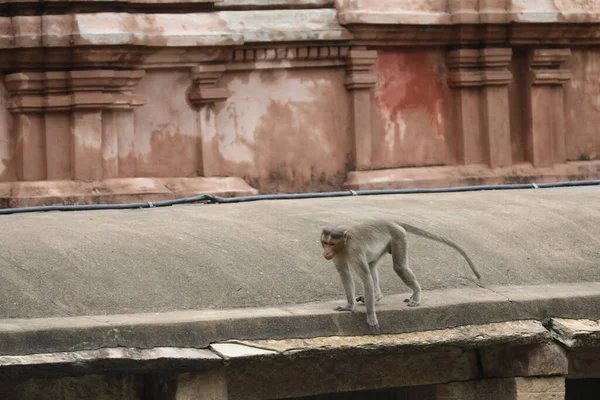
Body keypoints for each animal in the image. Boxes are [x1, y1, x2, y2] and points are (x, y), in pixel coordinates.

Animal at [322, 220, 480, 332]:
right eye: (324, 243)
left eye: (332, 244)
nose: (326, 252)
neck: (344, 246)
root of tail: (390, 221)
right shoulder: (338, 256)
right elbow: (345, 274)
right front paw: (349, 306)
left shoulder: (354, 250)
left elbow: (366, 278)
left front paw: (371, 316)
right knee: (372, 265)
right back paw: (377, 296)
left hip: (398, 237)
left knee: (399, 267)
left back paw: (416, 294)